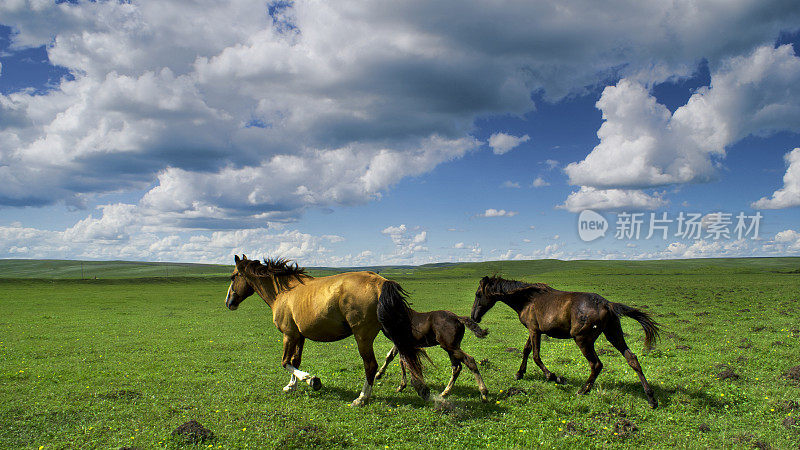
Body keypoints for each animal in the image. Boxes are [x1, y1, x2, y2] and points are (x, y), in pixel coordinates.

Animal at [222, 255, 434, 406]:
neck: (284, 292)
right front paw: (292, 385)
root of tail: (380, 282)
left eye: (233, 277)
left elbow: (285, 362)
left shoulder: (288, 335)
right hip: (390, 329)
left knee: (371, 365)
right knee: (404, 354)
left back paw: (362, 398)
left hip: (363, 337)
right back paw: (416, 388)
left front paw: (311, 380)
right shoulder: (299, 336)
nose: (228, 303)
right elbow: (295, 361)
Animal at [472, 276, 660, 410]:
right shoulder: (534, 330)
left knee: (596, 364)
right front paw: (519, 373)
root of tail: (608, 304)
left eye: (478, 294)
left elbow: (536, 356)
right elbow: (526, 350)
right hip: (613, 334)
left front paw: (553, 376)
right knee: (632, 359)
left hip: (583, 339)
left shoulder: (534, 331)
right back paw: (651, 398)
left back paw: (583, 390)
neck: (527, 300)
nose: (474, 317)